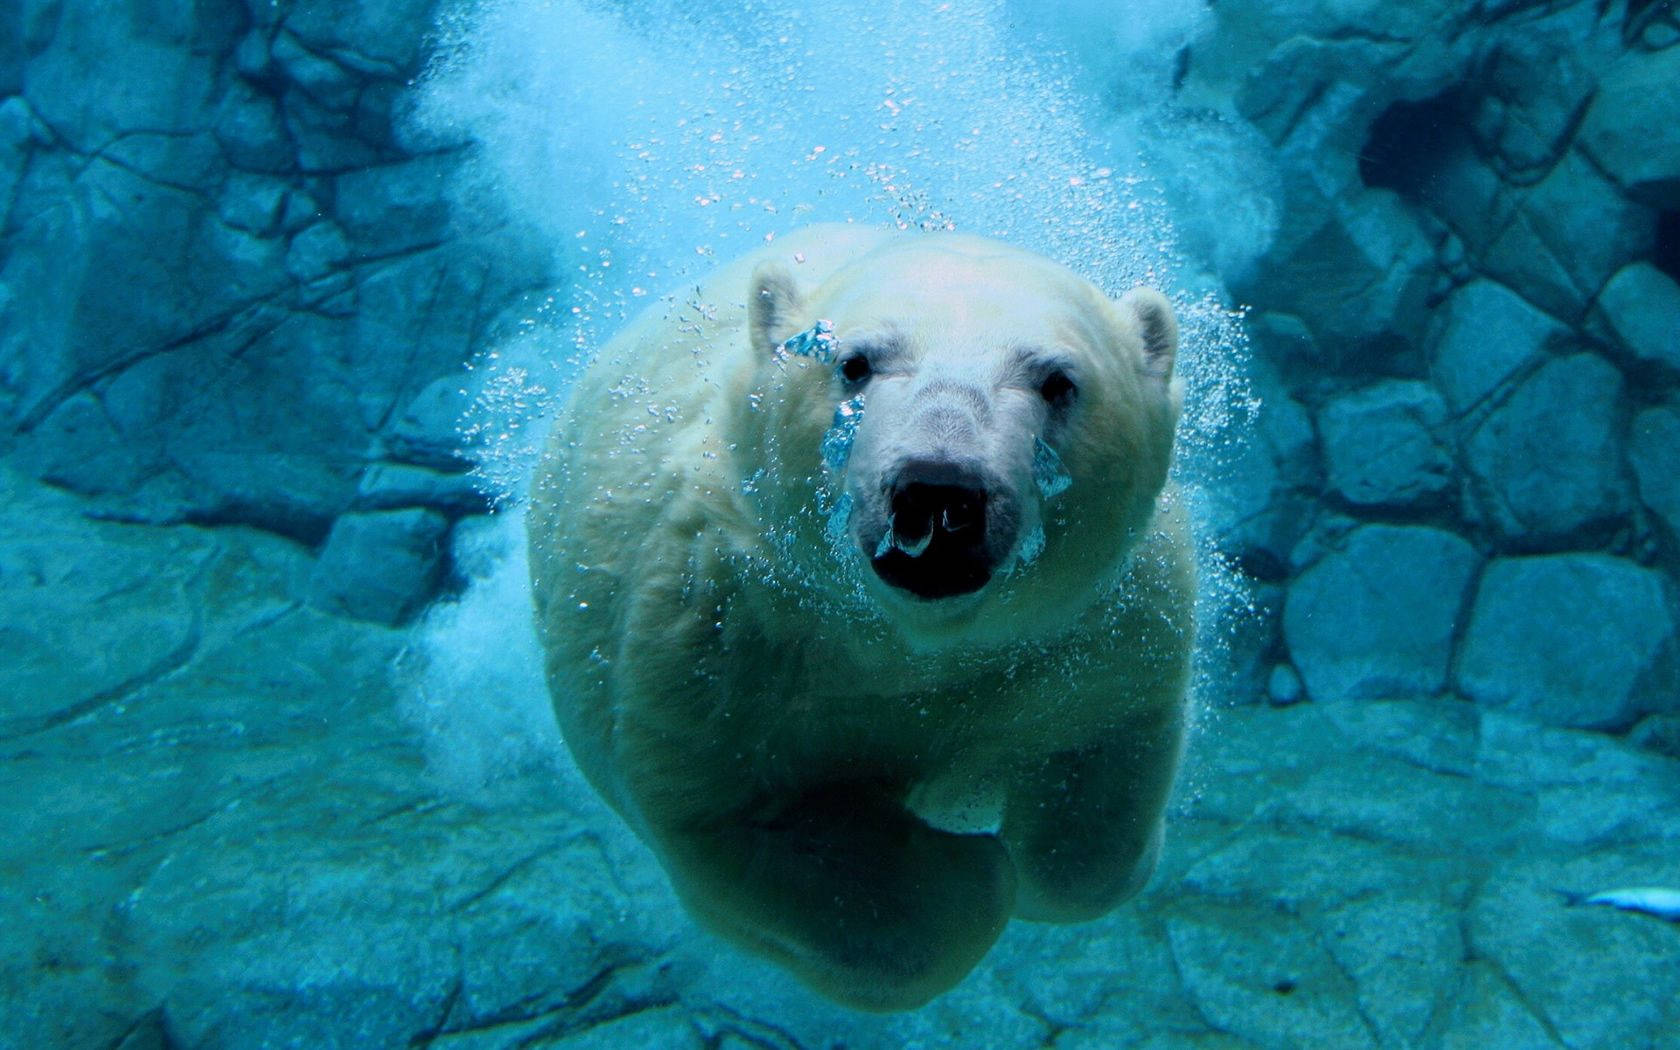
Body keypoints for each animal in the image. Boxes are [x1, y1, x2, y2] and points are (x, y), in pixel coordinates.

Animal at [528, 224, 1193, 1011]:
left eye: (1058, 381)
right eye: (854, 362)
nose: (940, 491)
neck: (909, 642)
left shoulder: (1096, 628)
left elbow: (1098, 777)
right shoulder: (718, 634)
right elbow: (742, 822)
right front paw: (971, 872)